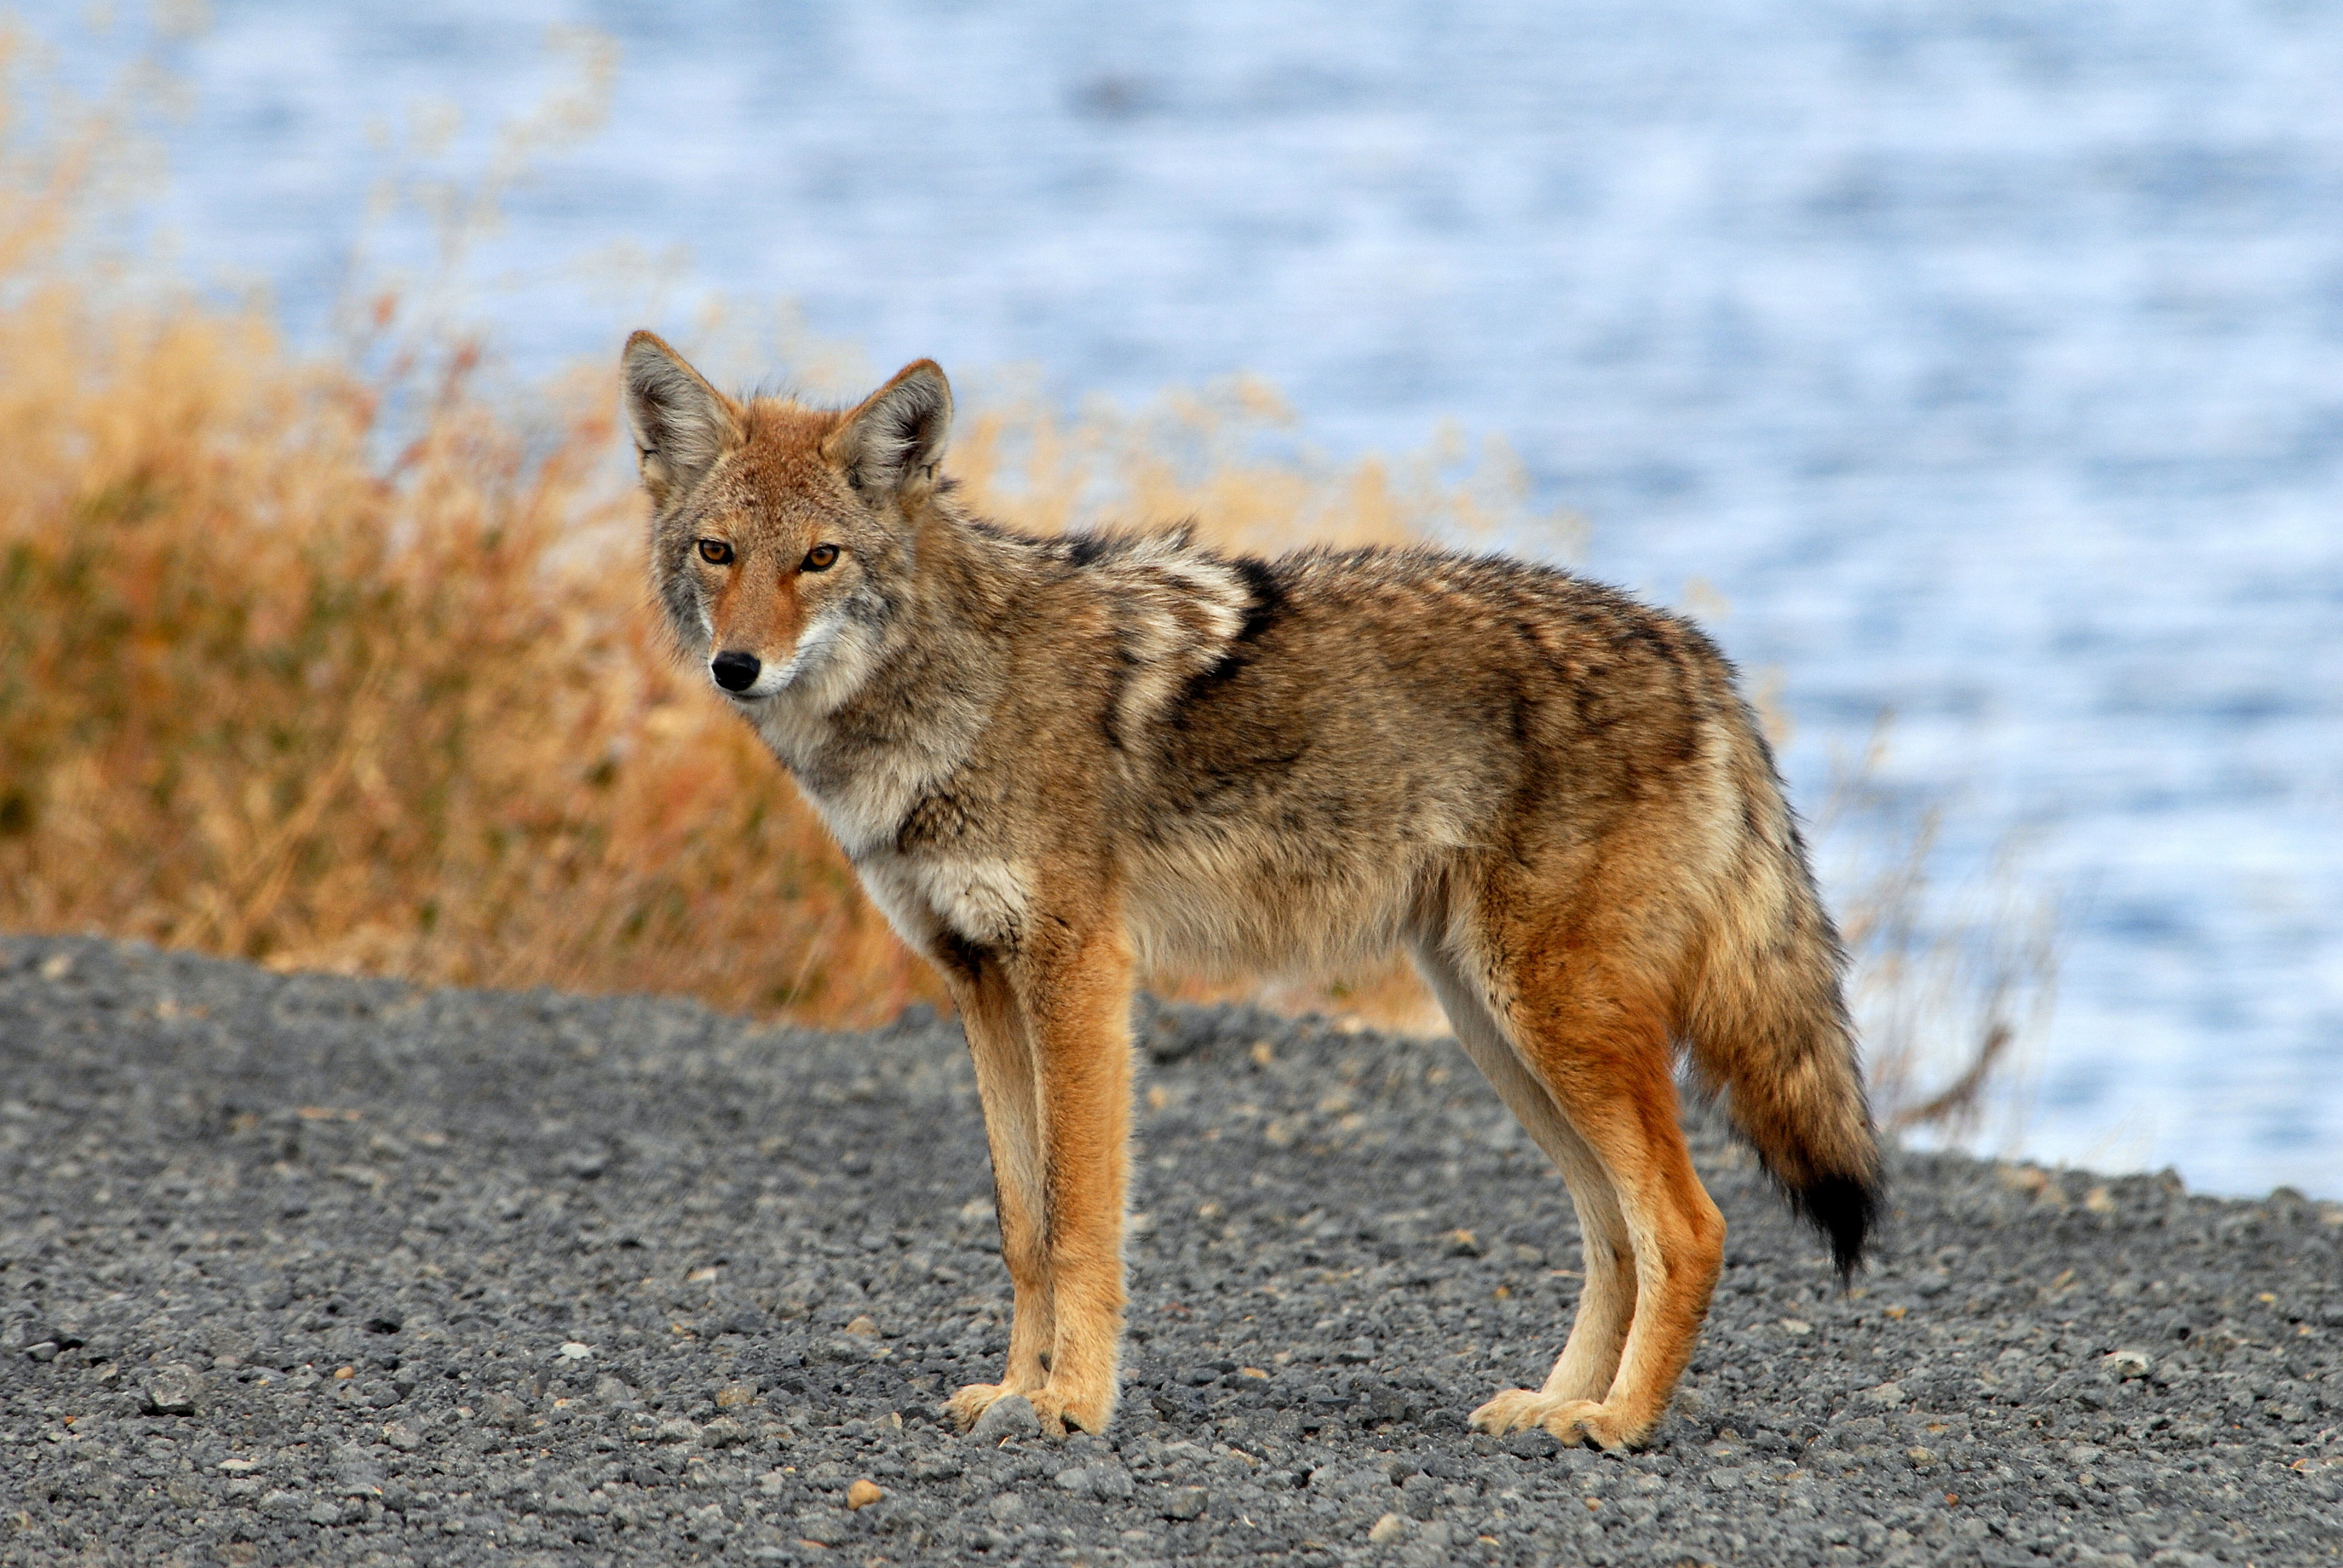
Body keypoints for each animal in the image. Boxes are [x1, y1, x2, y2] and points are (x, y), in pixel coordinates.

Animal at [620, 331, 1881, 1452]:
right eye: (719, 552)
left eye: (819, 559)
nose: (736, 667)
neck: (952, 692)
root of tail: (1698, 654)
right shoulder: (978, 982)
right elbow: (1022, 1224)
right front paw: (1016, 1388)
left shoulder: (1079, 974)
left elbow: (1081, 1218)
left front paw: (1071, 1402)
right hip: (1503, 1035)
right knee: (1615, 1232)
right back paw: (1554, 1404)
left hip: (1557, 1023)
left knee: (1688, 1223)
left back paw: (1618, 1422)